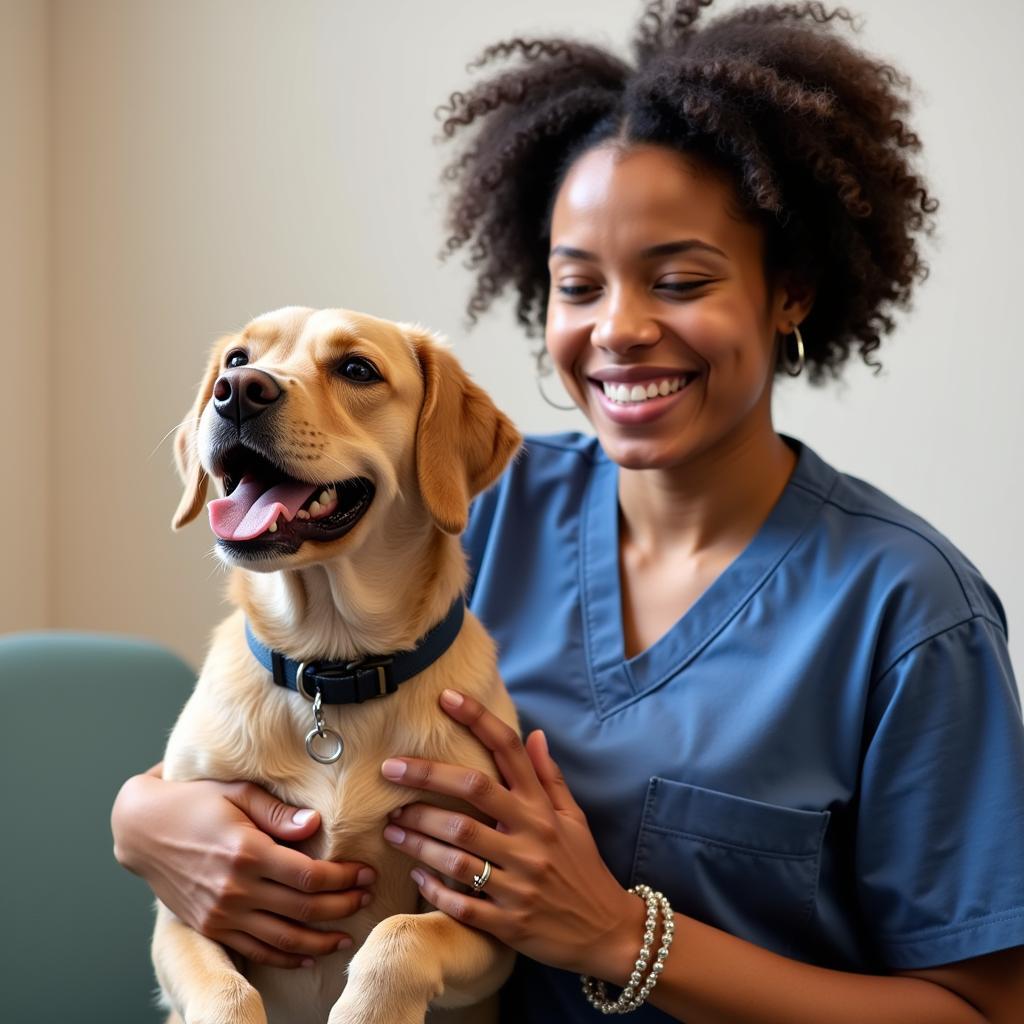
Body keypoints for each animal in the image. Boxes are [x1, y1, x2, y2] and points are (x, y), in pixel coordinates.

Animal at [155, 305, 524, 1024]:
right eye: (237, 359)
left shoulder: (490, 922)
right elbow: (225, 992)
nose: (239, 392)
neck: (331, 666)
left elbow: (398, 940)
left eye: (357, 369)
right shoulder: (184, 907)